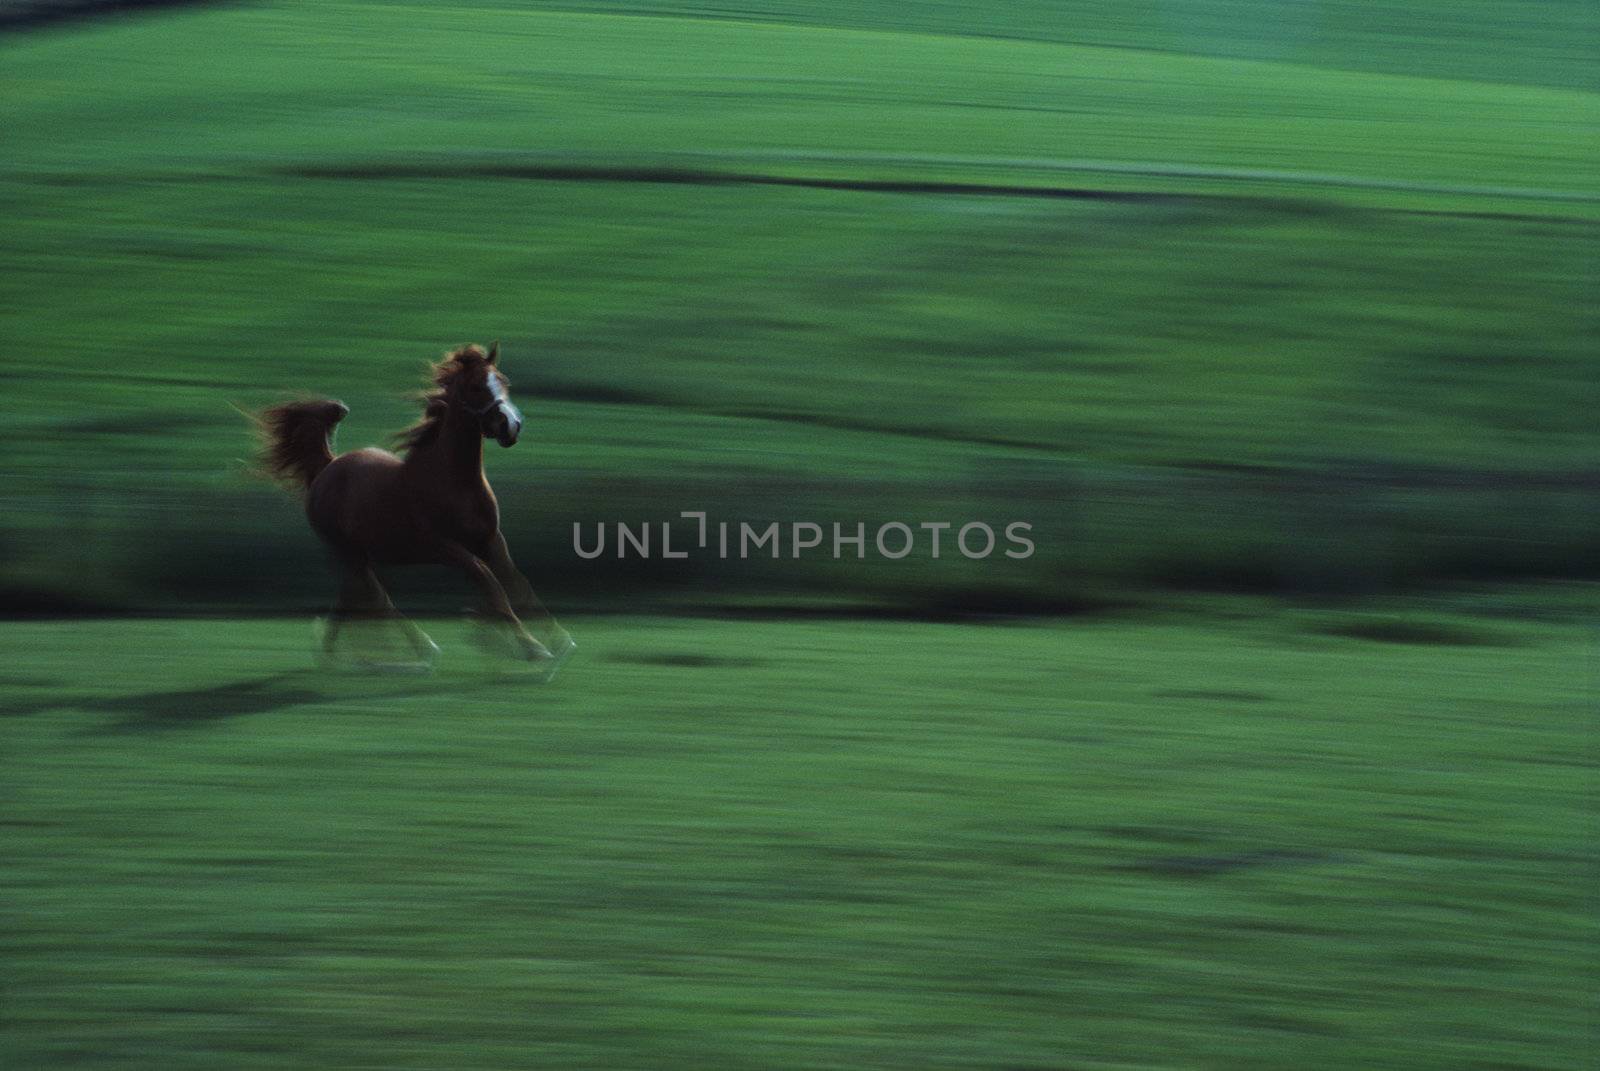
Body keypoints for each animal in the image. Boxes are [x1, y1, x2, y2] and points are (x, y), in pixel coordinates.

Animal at [252, 342, 572, 675]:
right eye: (475, 386)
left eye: (504, 381)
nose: (511, 426)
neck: (453, 481)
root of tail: (327, 466)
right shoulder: (444, 547)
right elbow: (491, 583)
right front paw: (534, 649)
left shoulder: (491, 539)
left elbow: (518, 582)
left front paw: (559, 642)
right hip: (347, 550)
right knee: (377, 596)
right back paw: (420, 651)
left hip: (362, 553)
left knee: (354, 593)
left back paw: (335, 654)